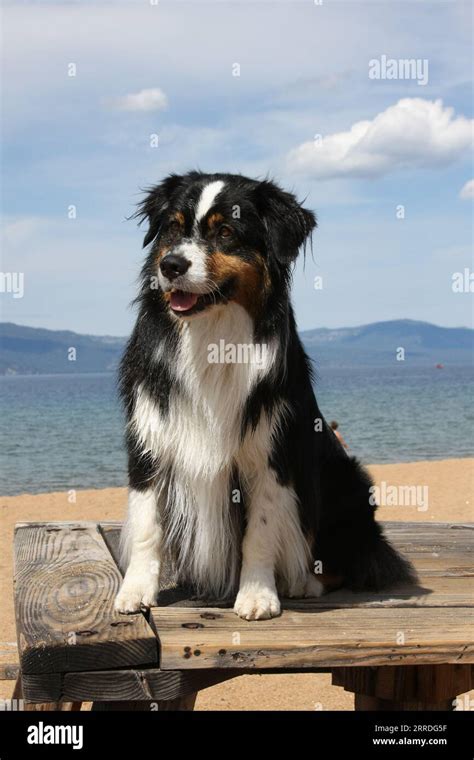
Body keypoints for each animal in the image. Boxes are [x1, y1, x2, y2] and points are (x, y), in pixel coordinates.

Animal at [114, 171, 414, 616]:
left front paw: (257, 594)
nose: (171, 265)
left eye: (225, 232)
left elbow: (260, 531)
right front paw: (135, 591)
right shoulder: (151, 441)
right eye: (173, 227)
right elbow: (147, 524)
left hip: (347, 480)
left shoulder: (271, 453)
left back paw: (305, 581)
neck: (213, 337)